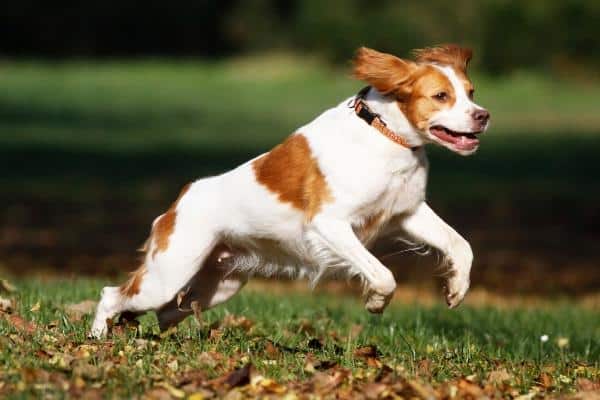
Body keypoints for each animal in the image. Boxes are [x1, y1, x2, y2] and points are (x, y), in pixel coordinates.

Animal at [91, 43, 490, 338]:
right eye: (440, 95)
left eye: (471, 93)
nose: (483, 115)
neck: (383, 131)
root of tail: (180, 200)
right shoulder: (329, 224)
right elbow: (383, 274)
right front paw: (376, 303)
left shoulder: (407, 212)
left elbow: (461, 245)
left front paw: (457, 288)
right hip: (169, 272)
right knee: (112, 296)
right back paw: (97, 339)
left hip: (217, 285)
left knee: (166, 313)